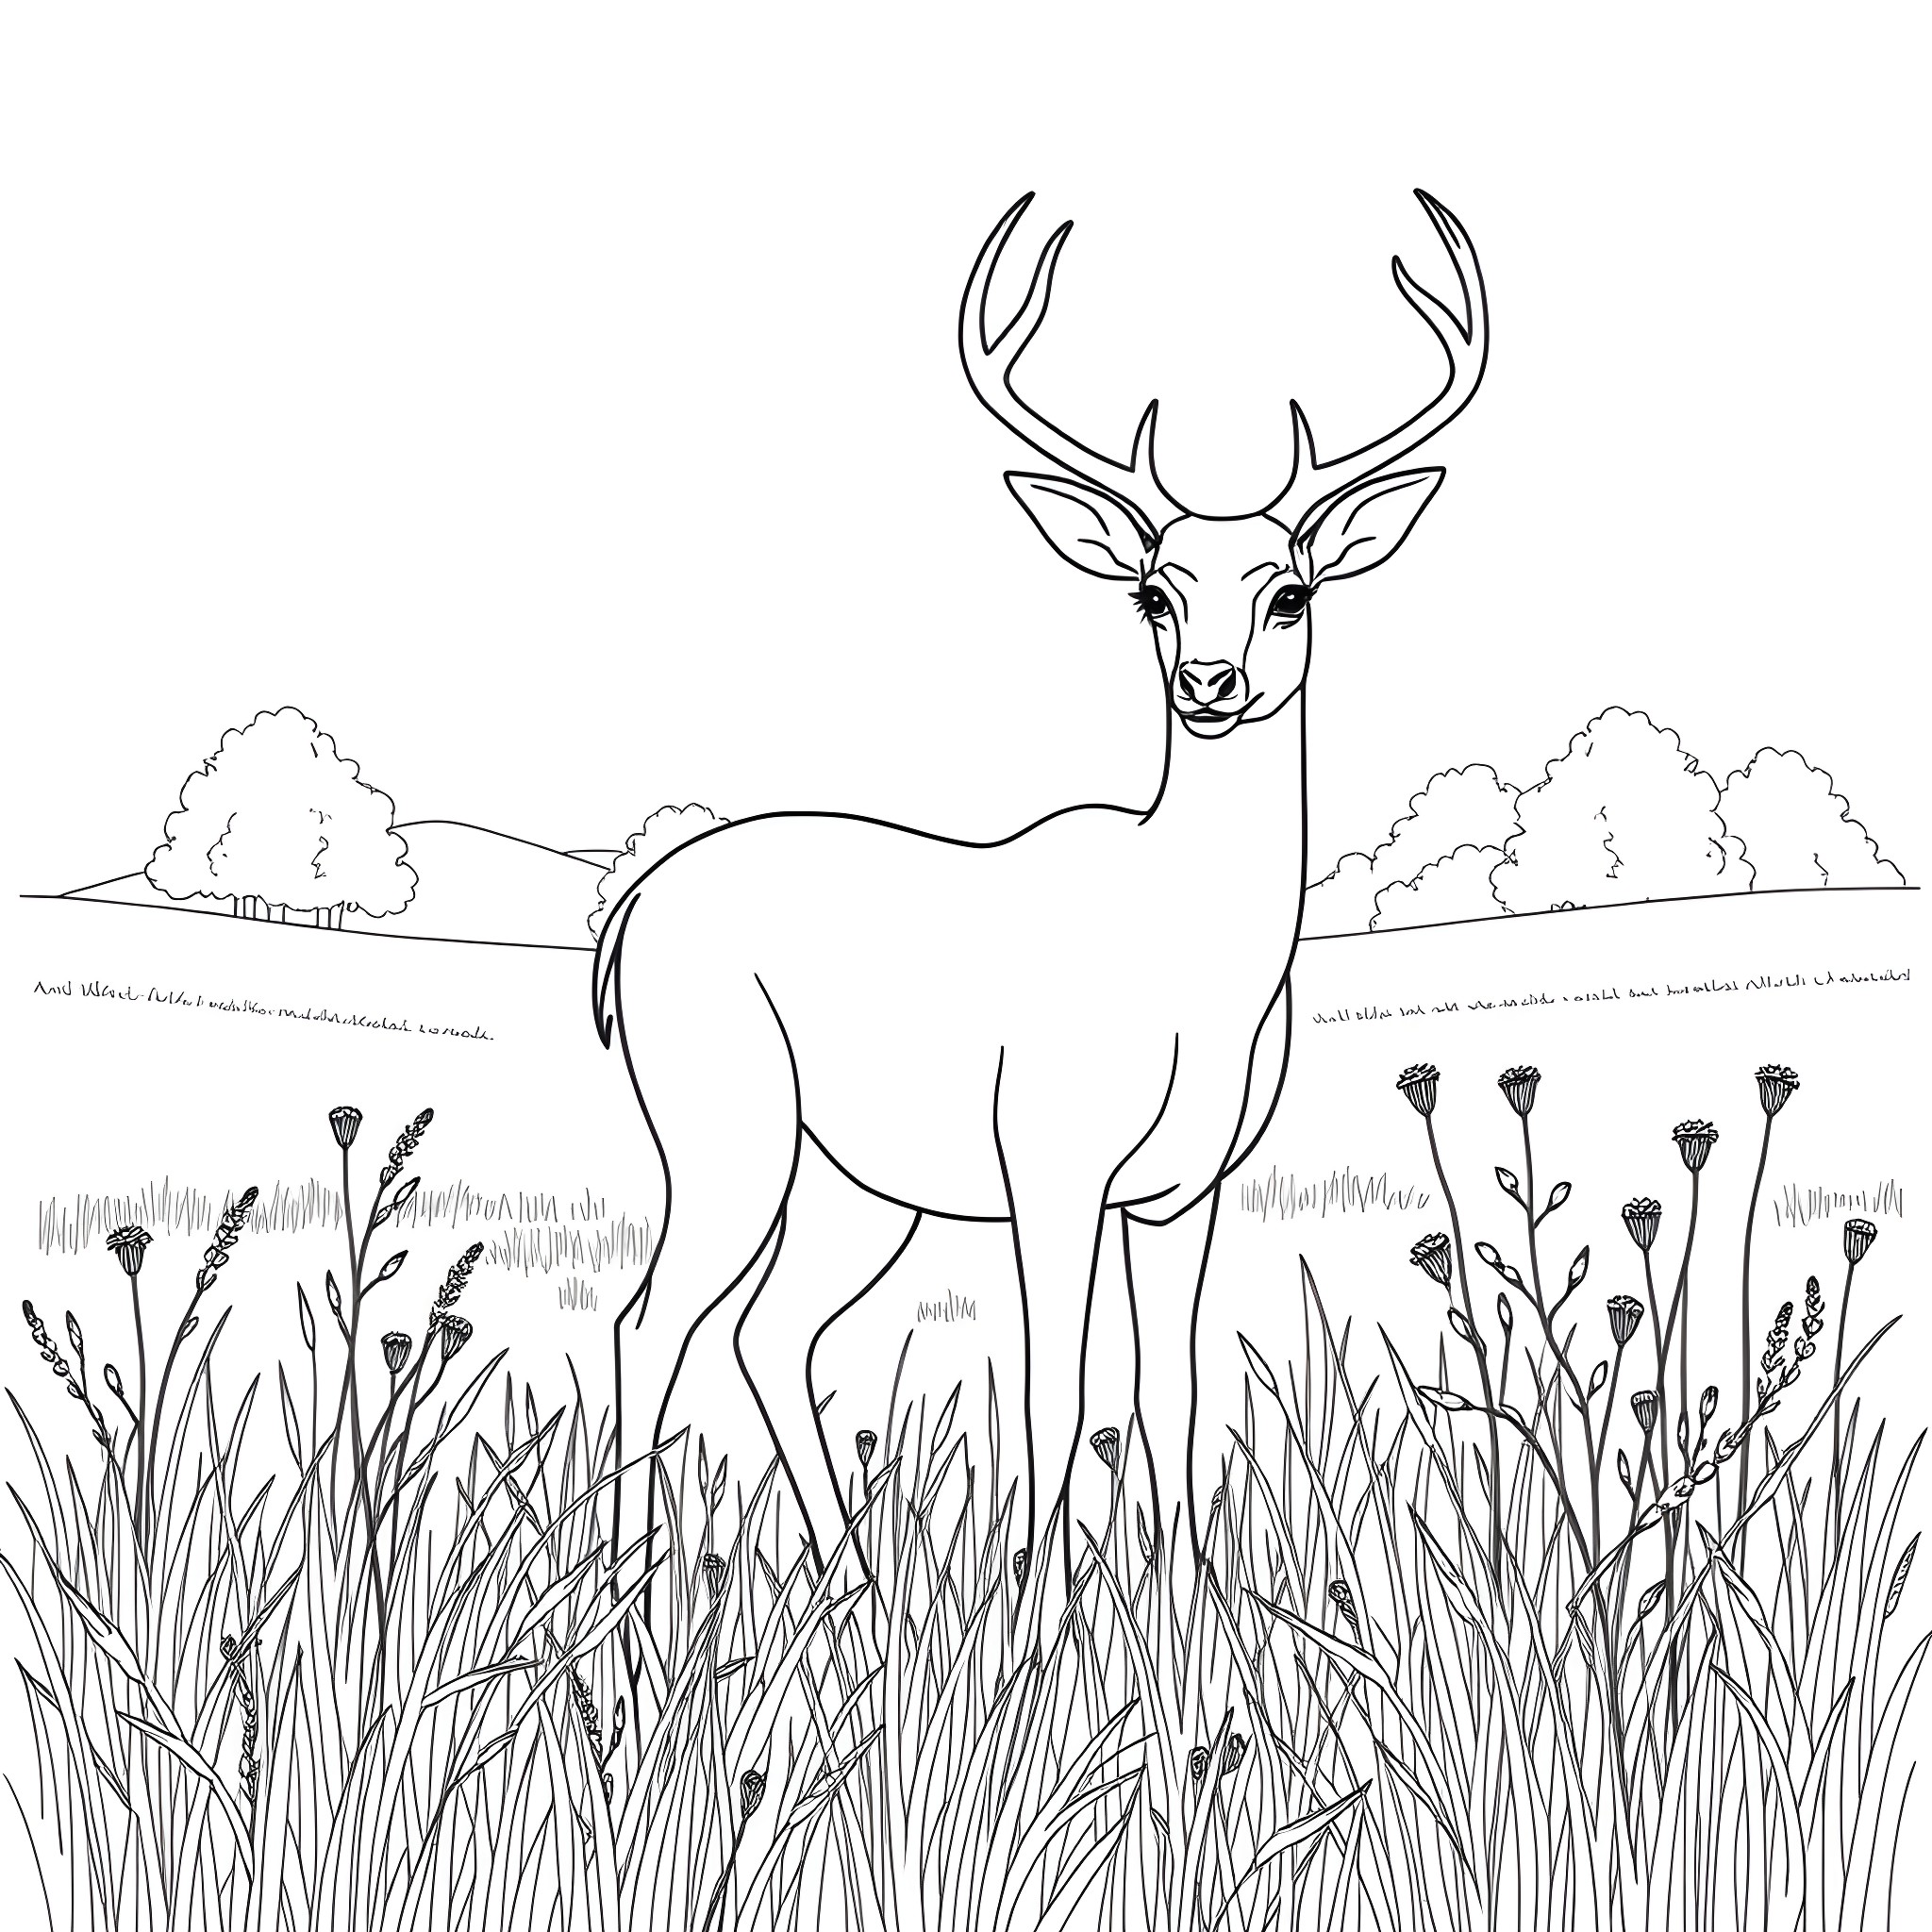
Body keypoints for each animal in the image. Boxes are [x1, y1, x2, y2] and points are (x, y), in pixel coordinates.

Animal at [595, 188, 1489, 1641]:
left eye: (1290, 589)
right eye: (1152, 590)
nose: (1208, 681)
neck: (1193, 969)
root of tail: (623, 924)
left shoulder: (1183, 1189)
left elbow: (1172, 1388)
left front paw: (1189, 1616)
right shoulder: (1050, 1160)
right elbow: (1052, 1389)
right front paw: (1035, 1631)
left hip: (856, 1182)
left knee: (769, 1330)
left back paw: (857, 1595)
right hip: (722, 1121)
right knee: (649, 1321)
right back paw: (620, 1616)